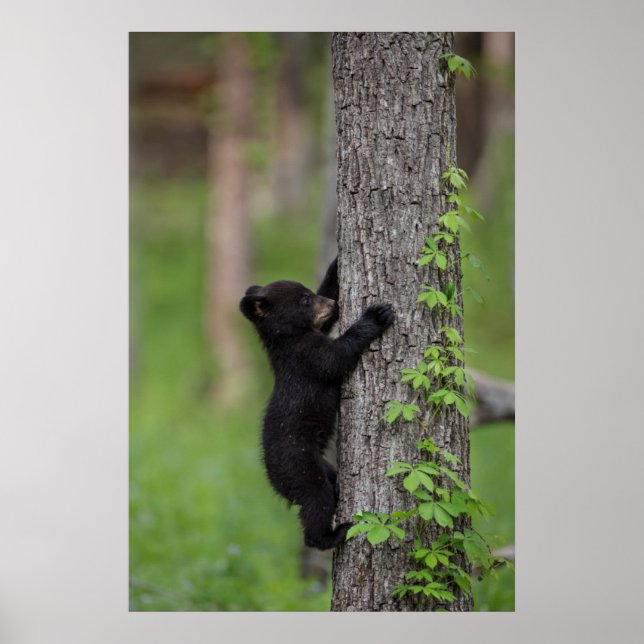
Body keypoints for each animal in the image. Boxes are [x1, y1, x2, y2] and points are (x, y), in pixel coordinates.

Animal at [239, 258, 395, 550]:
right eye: (304, 300)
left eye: (310, 293)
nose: (332, 304)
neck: (288, 337)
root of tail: (271, 479)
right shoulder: (306, 356)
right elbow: (336, 357)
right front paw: (376, 315)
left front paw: (336, 268)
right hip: (299, 464)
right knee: (315, 499)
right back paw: (333, 534)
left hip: (320, 465)